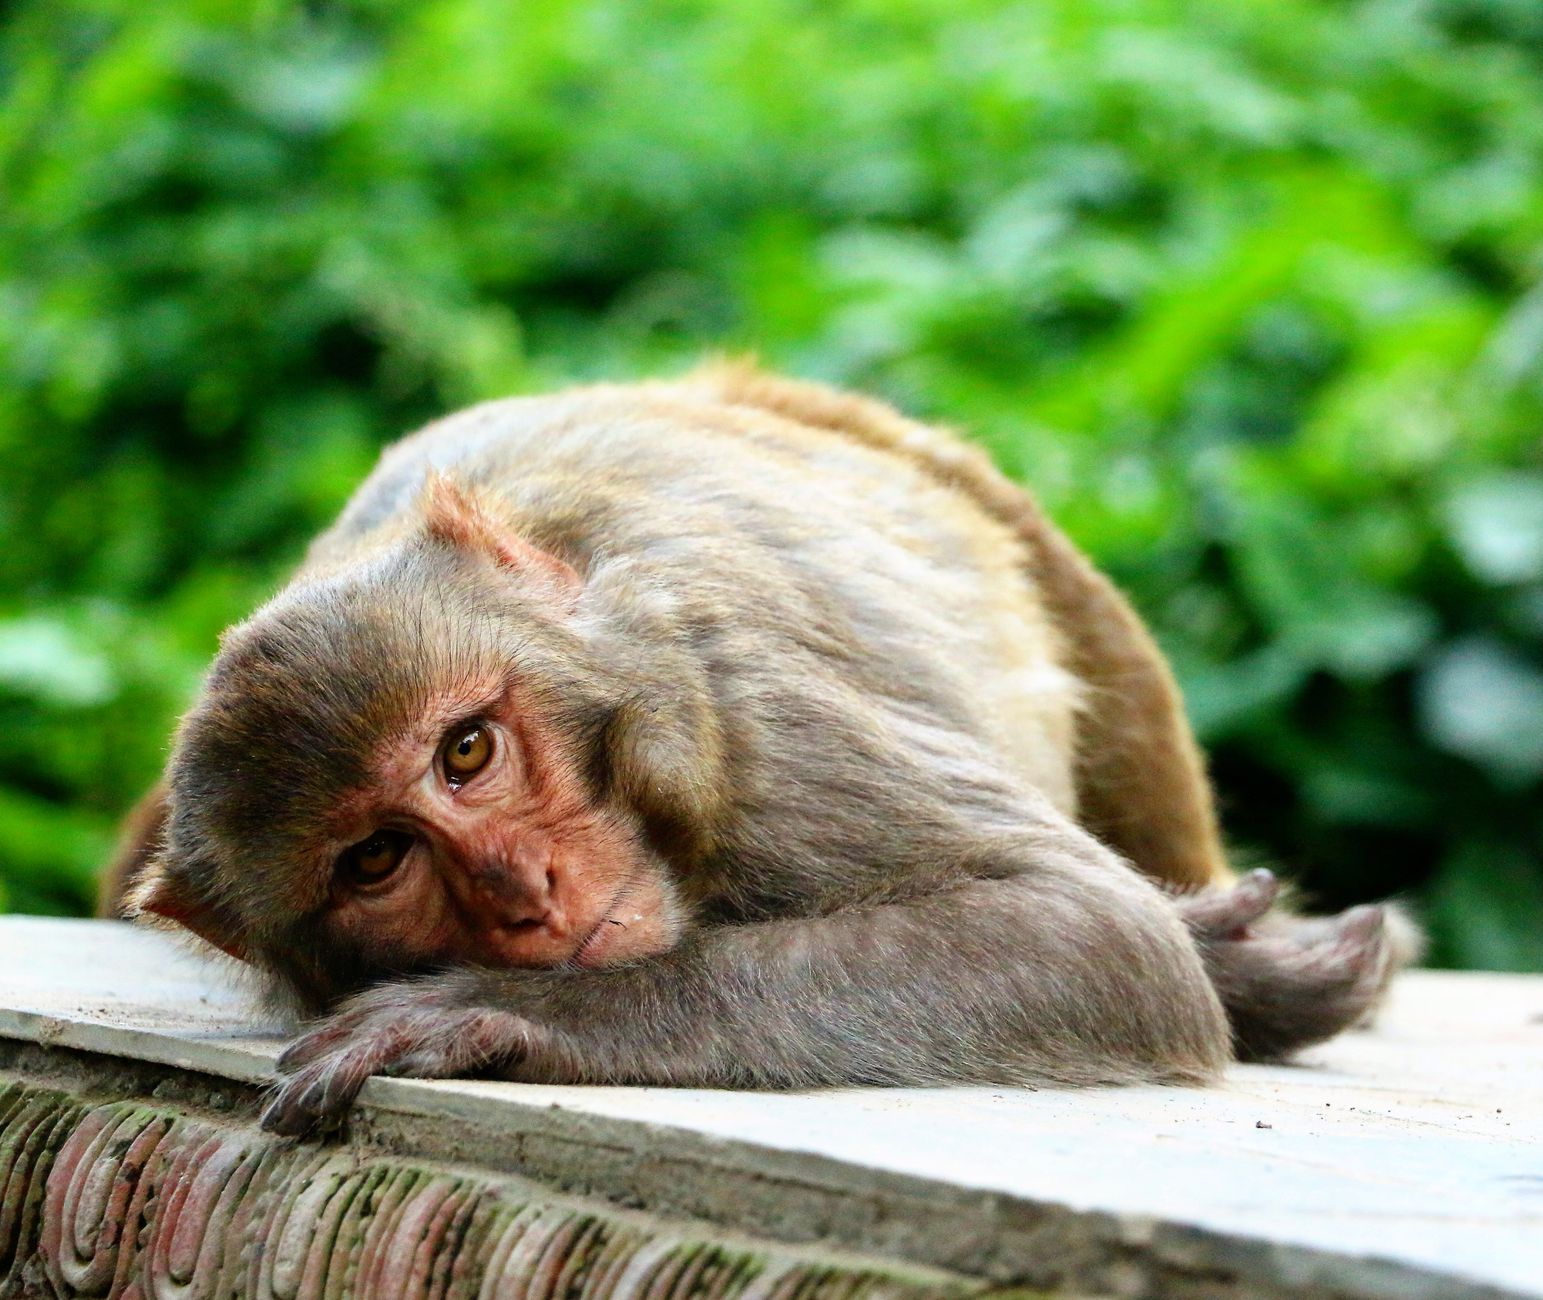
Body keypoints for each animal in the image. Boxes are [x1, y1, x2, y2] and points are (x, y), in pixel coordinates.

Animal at [109, 363, 1415, 1136]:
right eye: (375, 860)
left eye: (466, 751)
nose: (527, 891)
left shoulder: (733, 696)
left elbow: (1087, 933)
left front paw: (494, 1014)